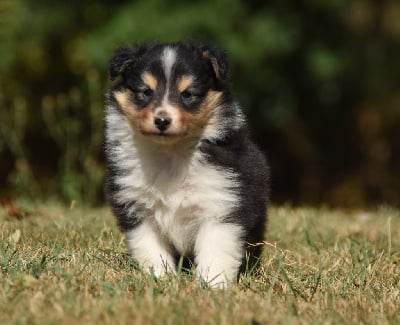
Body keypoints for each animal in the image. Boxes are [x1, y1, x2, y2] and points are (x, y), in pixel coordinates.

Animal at [104, 41, 270, 288]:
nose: (162, 121)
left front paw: (212, 285)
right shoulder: (137, 207)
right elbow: (150, 248)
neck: (171, 152)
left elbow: (216, 251)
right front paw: (160, 278)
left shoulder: (221, 204)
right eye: (146, 92)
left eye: (187, 94)